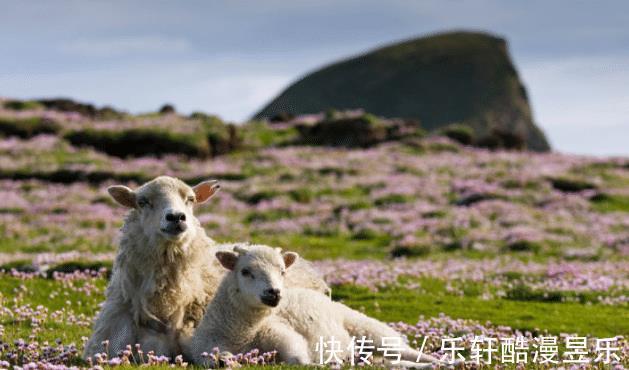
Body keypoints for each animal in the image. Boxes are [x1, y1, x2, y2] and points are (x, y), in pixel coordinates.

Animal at [186, 244, 442, 368]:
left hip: (374, 334)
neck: (242, 333)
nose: (274, 293)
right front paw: (226, 360)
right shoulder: (203, 348)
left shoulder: (283, 334)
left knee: (413, 354)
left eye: (282, 271)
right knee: (394, 362)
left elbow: (298, 359)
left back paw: (442, 362)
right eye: (245, 271)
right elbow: (213, 359)